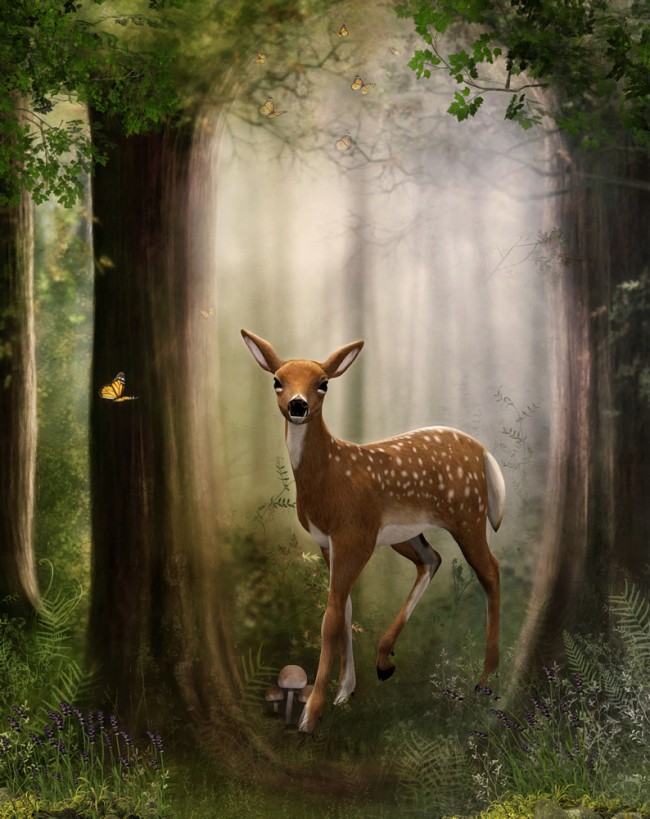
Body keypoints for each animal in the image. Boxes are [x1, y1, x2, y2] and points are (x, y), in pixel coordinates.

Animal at [241, 329, 505, 733]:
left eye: (323, 383)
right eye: (277, 380)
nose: (298, 405)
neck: (328, 479)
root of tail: (485, 453)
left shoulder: (355, 534)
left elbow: (331, 617)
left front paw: (311, 715)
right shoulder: (328, 542)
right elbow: (346, 609)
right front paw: (344, 692)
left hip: (467, 515)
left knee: (490, 570)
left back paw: (485, 679)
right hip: (407, 533)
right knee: (432, 559)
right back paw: (384, 660)